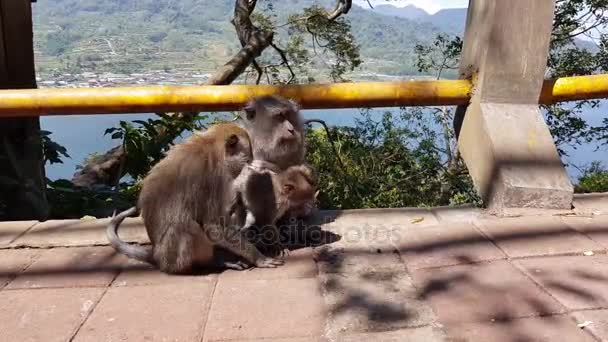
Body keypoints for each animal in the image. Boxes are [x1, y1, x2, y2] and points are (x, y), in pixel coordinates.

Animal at [106, 121, 282, 274]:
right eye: (247, 157)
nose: (247, 164)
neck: (211, 145)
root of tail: (157, 256)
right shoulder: (214, 178)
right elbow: (214, 226)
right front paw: (259, 258)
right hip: (173, 257)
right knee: (188, 226)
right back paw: (212, 262)